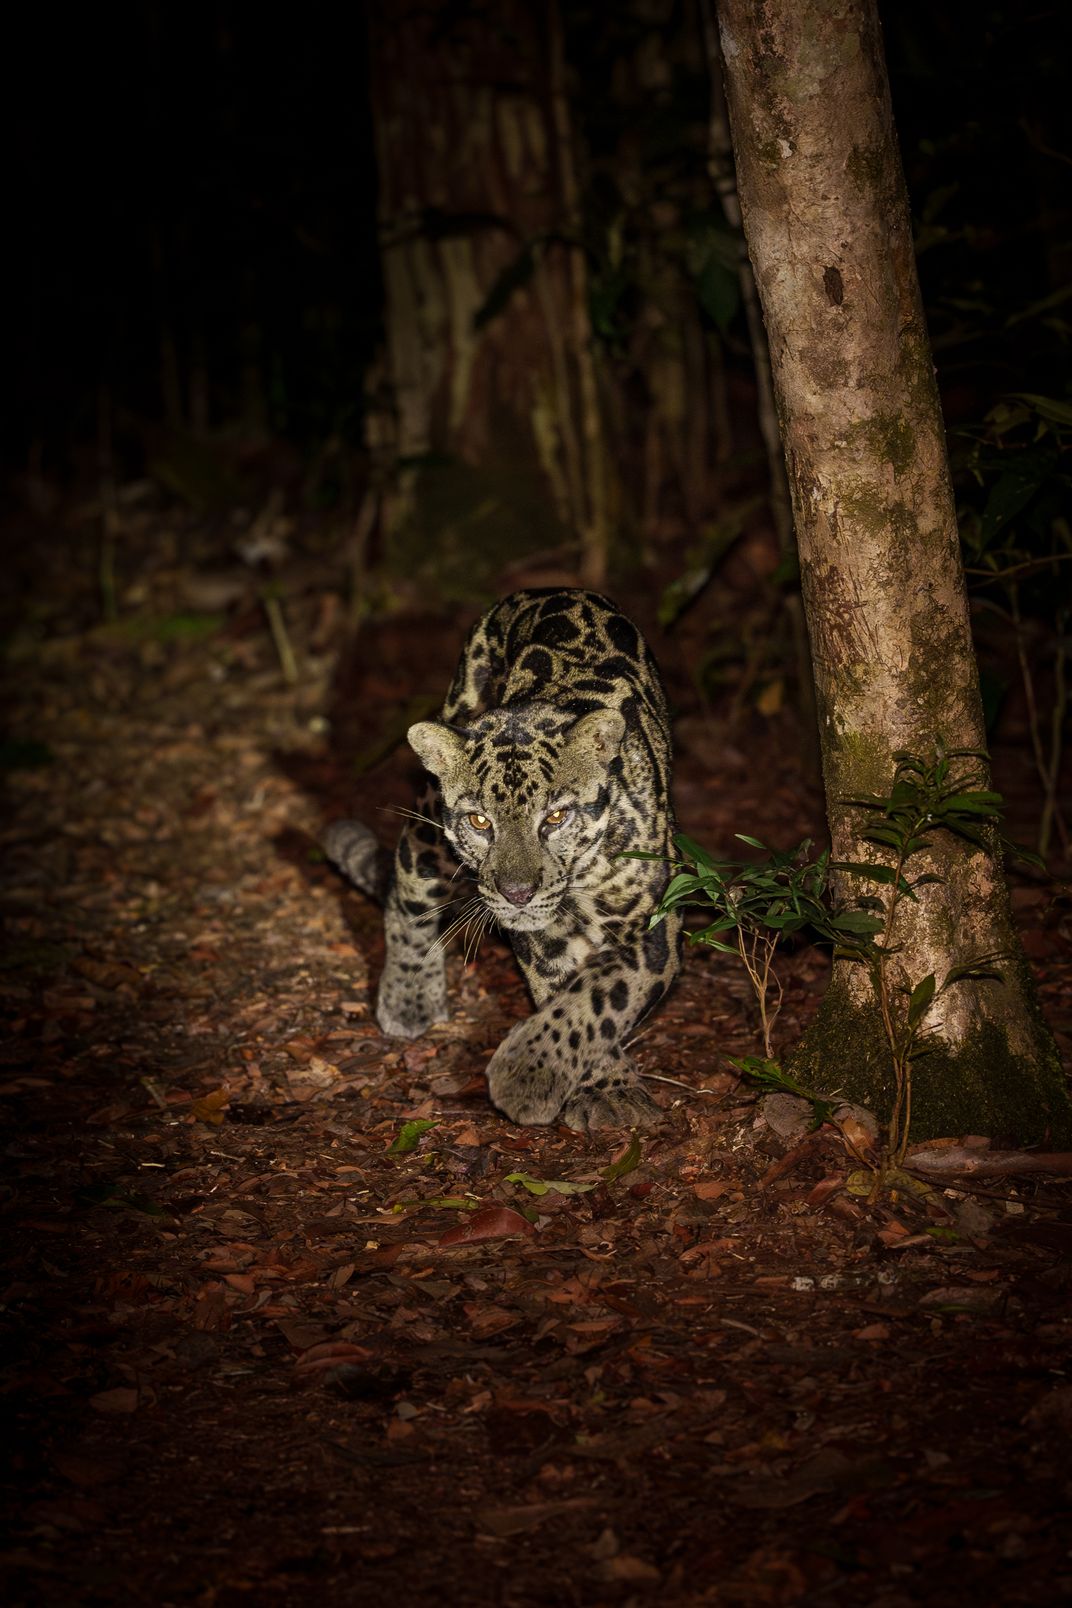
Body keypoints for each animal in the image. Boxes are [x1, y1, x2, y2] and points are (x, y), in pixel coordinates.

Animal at [324, 588, 682, 1130]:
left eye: (556, 817)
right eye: (479, 822)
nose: (517, 894)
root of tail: (540, 590)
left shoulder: (654, 921)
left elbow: (602, 990)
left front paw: (532, 1072)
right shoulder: (546, 940)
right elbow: (570, 995)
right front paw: (587, 1082)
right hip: (429, 813)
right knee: (408, 886)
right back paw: (408, 999)